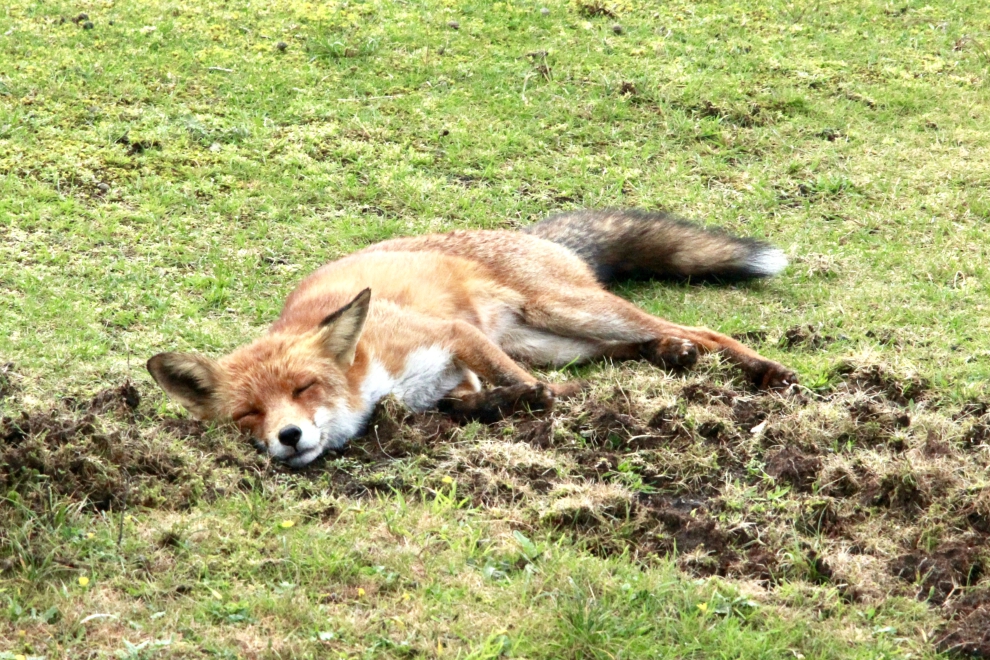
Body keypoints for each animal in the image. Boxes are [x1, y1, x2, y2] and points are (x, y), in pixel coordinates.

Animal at [148, 210, 796, 467]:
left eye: (305, 388)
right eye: (247, 415)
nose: (288, 438)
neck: (372, 374)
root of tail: (529, 233)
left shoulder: (452, 335)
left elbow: (515, 383)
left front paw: (545, 403)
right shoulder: (453, 379)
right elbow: (473, 401)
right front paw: (504, 405)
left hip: (575, 312)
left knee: (701, 329)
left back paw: (764, 371)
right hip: (559, 341)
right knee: (648, 345)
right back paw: (671, 356)